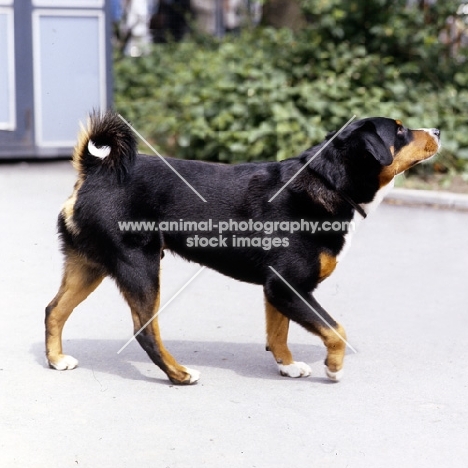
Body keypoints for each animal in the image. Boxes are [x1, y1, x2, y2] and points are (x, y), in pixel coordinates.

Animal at [45, 112, 440, 384]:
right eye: (400, 130)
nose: (437, 131)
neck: (329, 182)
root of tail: (95, 172)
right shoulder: (289, 286)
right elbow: (337, 329)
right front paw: (333, 366)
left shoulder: (279, 289)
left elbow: (278, 332)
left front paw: (287, 365)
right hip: (139, 266)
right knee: (146, 332)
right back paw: (179, 374)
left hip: (89, 265)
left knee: (54, 310)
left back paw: (56, 360)